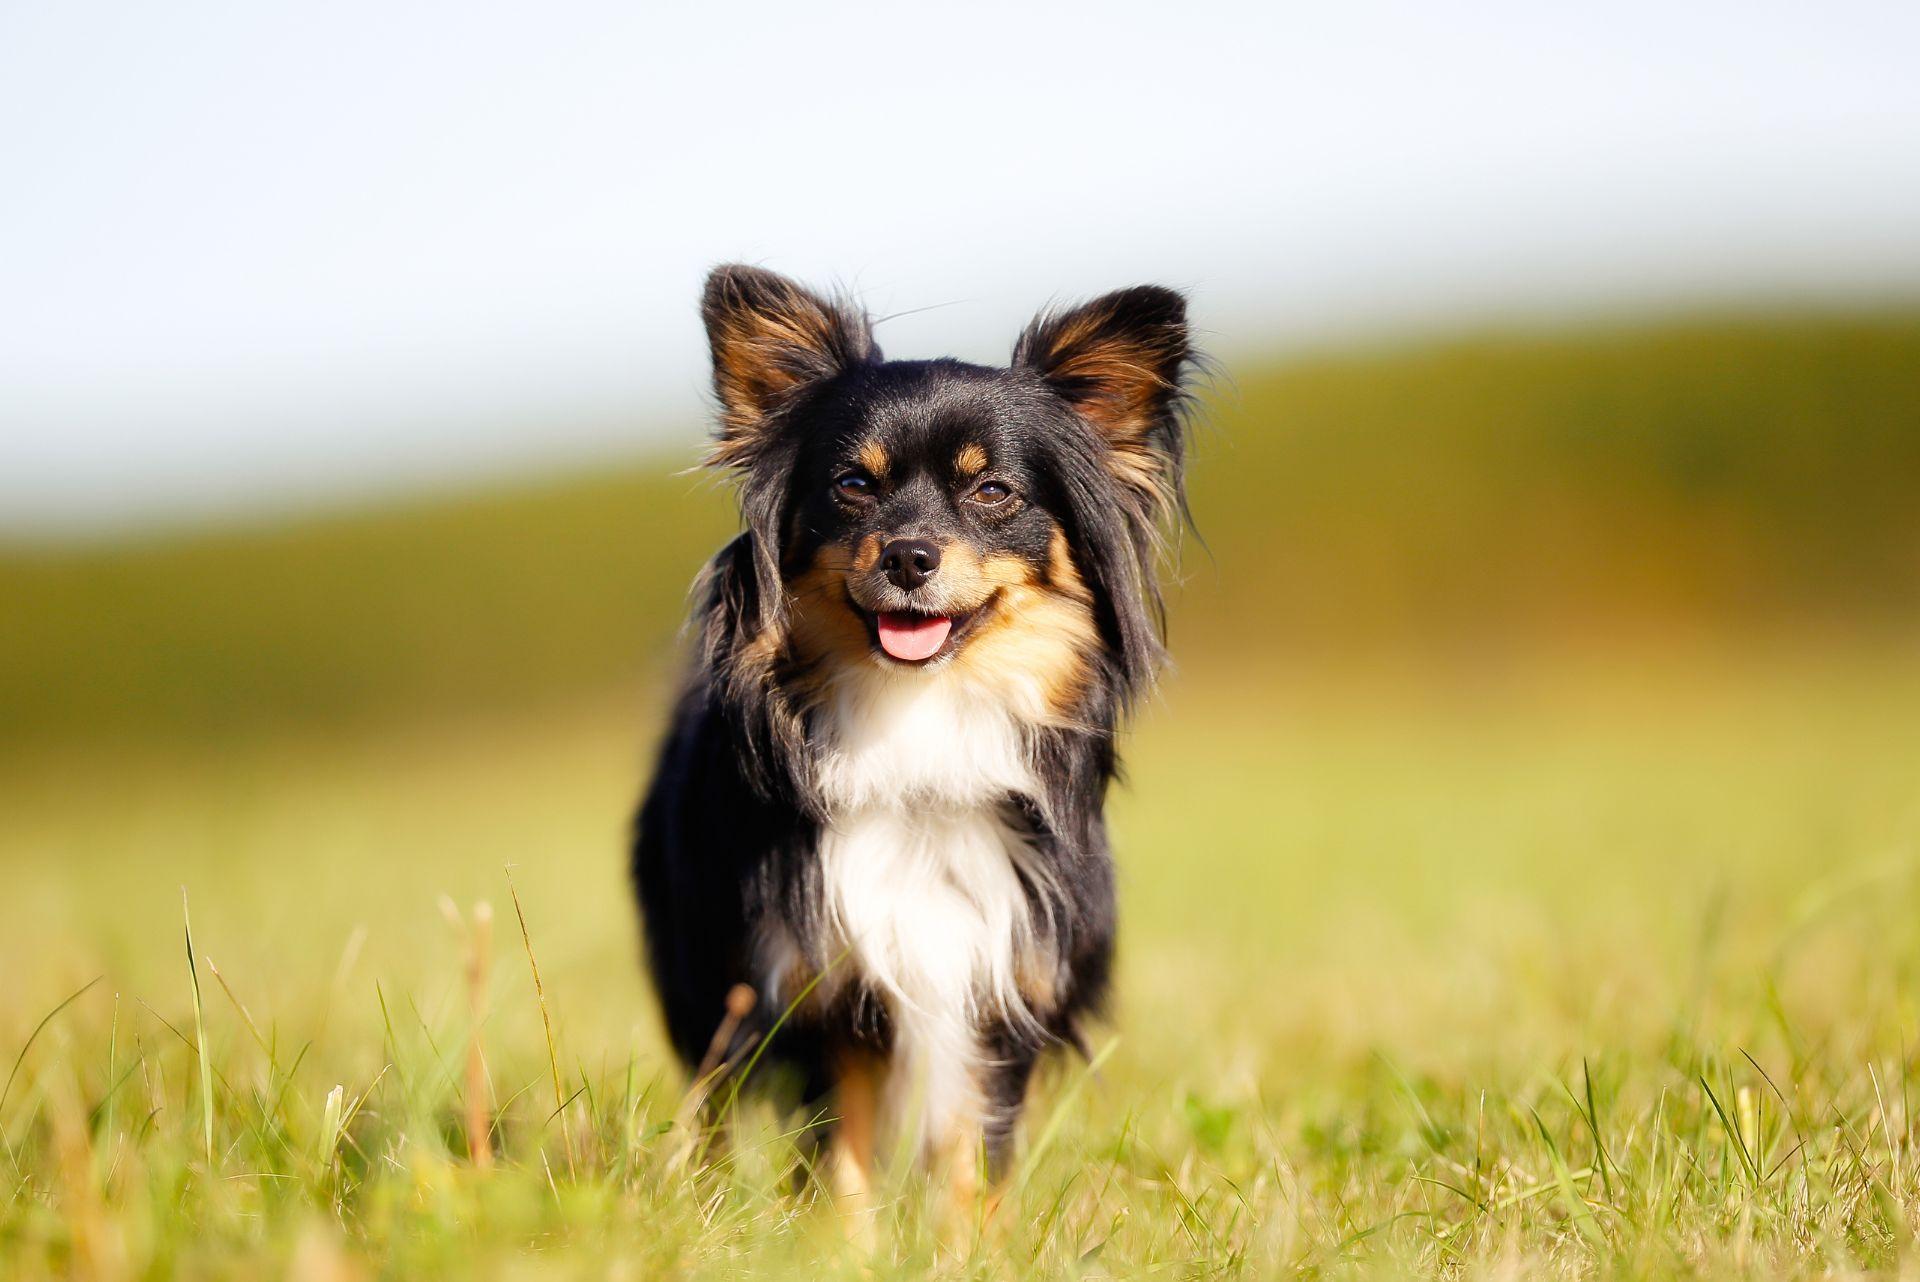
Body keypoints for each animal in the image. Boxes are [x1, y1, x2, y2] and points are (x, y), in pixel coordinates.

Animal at [637, 264, 1190, 1205]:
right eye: (853, 487)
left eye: (992, 491)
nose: (907, 556)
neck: (923, 714)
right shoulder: (825, 985)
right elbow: (844, 1160)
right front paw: (842, 1236)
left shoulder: (992, 982)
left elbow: (968, 1156)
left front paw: (967, 1235)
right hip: (707, 989)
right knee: (711, 1102)